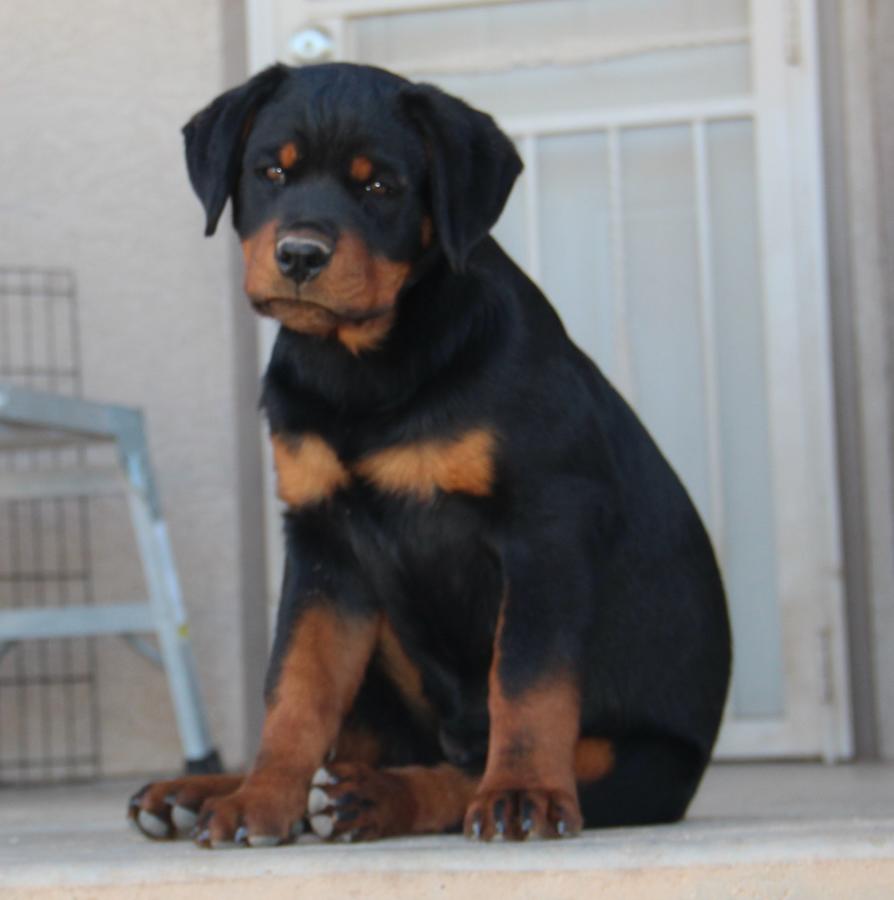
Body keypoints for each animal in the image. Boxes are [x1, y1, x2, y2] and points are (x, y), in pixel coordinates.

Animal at [130, 65, 732, 852]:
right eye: (271, 173)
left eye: (381, 187)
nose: (299, 256)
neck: (363, 366)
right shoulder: (323, 542)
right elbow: (294, 687)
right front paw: (260, 801)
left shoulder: (544, 522)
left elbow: (527, 680)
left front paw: (522, 794)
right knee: (361, 742)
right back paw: (204, 791)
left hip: (638, 761)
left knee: (472, 767)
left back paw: (379, 797)